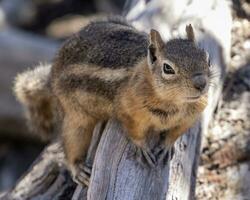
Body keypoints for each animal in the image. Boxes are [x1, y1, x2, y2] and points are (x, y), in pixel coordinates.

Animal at [14, 16, 211, 186]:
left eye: (208, 59)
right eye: (168, 68)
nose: (201, 83)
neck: (174, 104)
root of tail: (52, 72)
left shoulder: (191, 116)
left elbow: (177, 132)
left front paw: (166, 146)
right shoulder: (128, 111)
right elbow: (134, 132)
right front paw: (142, 148)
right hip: (75, 115)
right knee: (71, 141)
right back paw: (78, 167)